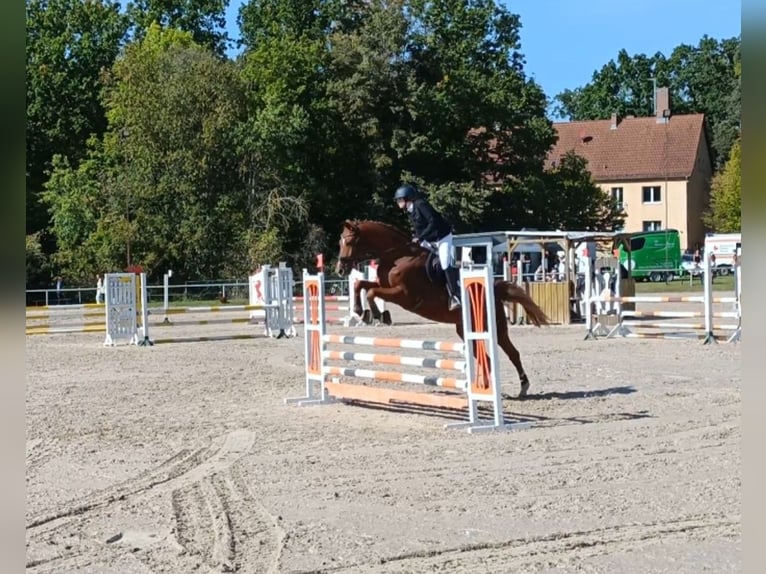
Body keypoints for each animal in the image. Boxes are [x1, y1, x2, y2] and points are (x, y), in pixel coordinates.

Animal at [334, 219, 550, 398]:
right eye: (340, 242)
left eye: (350, 242)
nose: (340, 269)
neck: (396, 256)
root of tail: (494, 291)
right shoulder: (383, 285)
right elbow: (361, 284)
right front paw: (360, 311)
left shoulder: (403, 295)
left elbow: (371, 292)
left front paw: (379, 315)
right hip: (465, 329)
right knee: (485, 357)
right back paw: (485, 388)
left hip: (495, 326)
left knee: (512, 353)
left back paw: (523, 387)